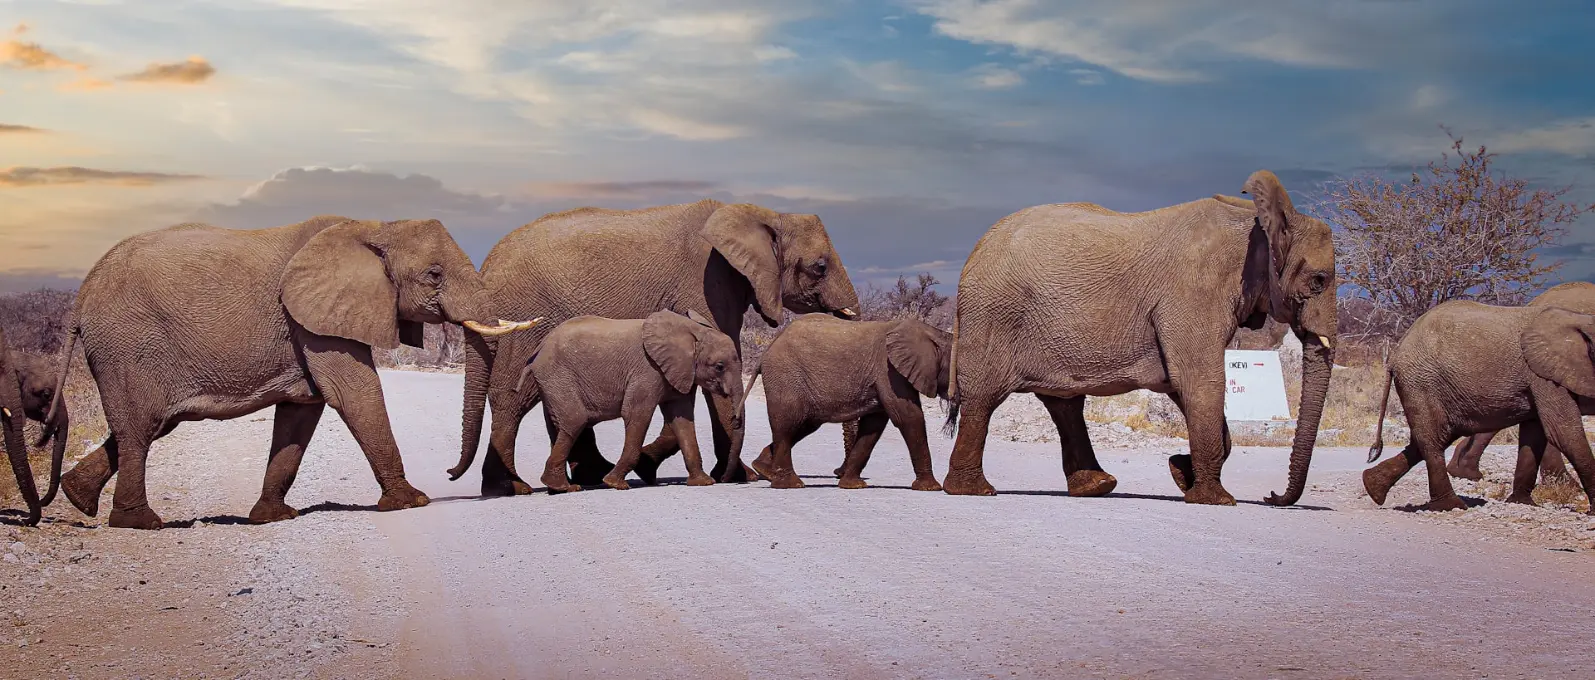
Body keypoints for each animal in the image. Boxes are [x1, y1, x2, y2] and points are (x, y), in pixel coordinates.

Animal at [49, 216, 540, 530]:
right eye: (434, 275)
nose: (450, 475)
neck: (375, 227)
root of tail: (83, 292)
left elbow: (303, 411)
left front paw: (273, 517)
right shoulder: (313, 321)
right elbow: (354, 392)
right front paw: (411, 502)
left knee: (148, 426)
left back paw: (77, 498)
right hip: (128, 346)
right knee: (140, 428)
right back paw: (141, 523)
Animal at [480, 310, 743, 492]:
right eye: (719, 367)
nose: (723, 480)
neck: (691, 330)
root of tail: (537, 350)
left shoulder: (679, 372)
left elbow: (683, 420)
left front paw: (703, 483)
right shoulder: (647, 371)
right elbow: (637, 415)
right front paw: (615, 484)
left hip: (551, 380)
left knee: (560, 424)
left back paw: (558, 486)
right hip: (556, 375)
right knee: (575, 420)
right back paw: (564, 487)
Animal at [740, 314, 949, 491]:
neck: (934, 333)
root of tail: (768, 348)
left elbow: (873, 426)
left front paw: (852, 485)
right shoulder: (889, 371)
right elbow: (908, 417)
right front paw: (931, 488)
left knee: (803, 425)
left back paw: (764, 470)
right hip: (785, 375)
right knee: (788, 424)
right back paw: (790, 485)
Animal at [941, 171, 1337, 505]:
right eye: (1319, 280)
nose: (1272, 496)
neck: (1257, 221)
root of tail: (974, 252)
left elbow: (1183, 385)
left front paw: (1181, 473)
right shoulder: (1193, 295)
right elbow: (1199, 381)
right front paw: (1215, 499)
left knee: (1064, 404)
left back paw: (1097, 487)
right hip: (994, 316)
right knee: (984, 398)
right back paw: (974, 491)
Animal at [1363, 302, 1595, 513]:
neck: (1578, 318)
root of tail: (1395, 353)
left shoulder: (1541, 376)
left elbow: (1535, 436)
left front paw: (1522, 503)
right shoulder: (1544, 377)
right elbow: (1563, 432)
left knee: (1437, 437)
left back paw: (1373, 487)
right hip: (1421, 381)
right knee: (1433, 439)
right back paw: (1451, 506)